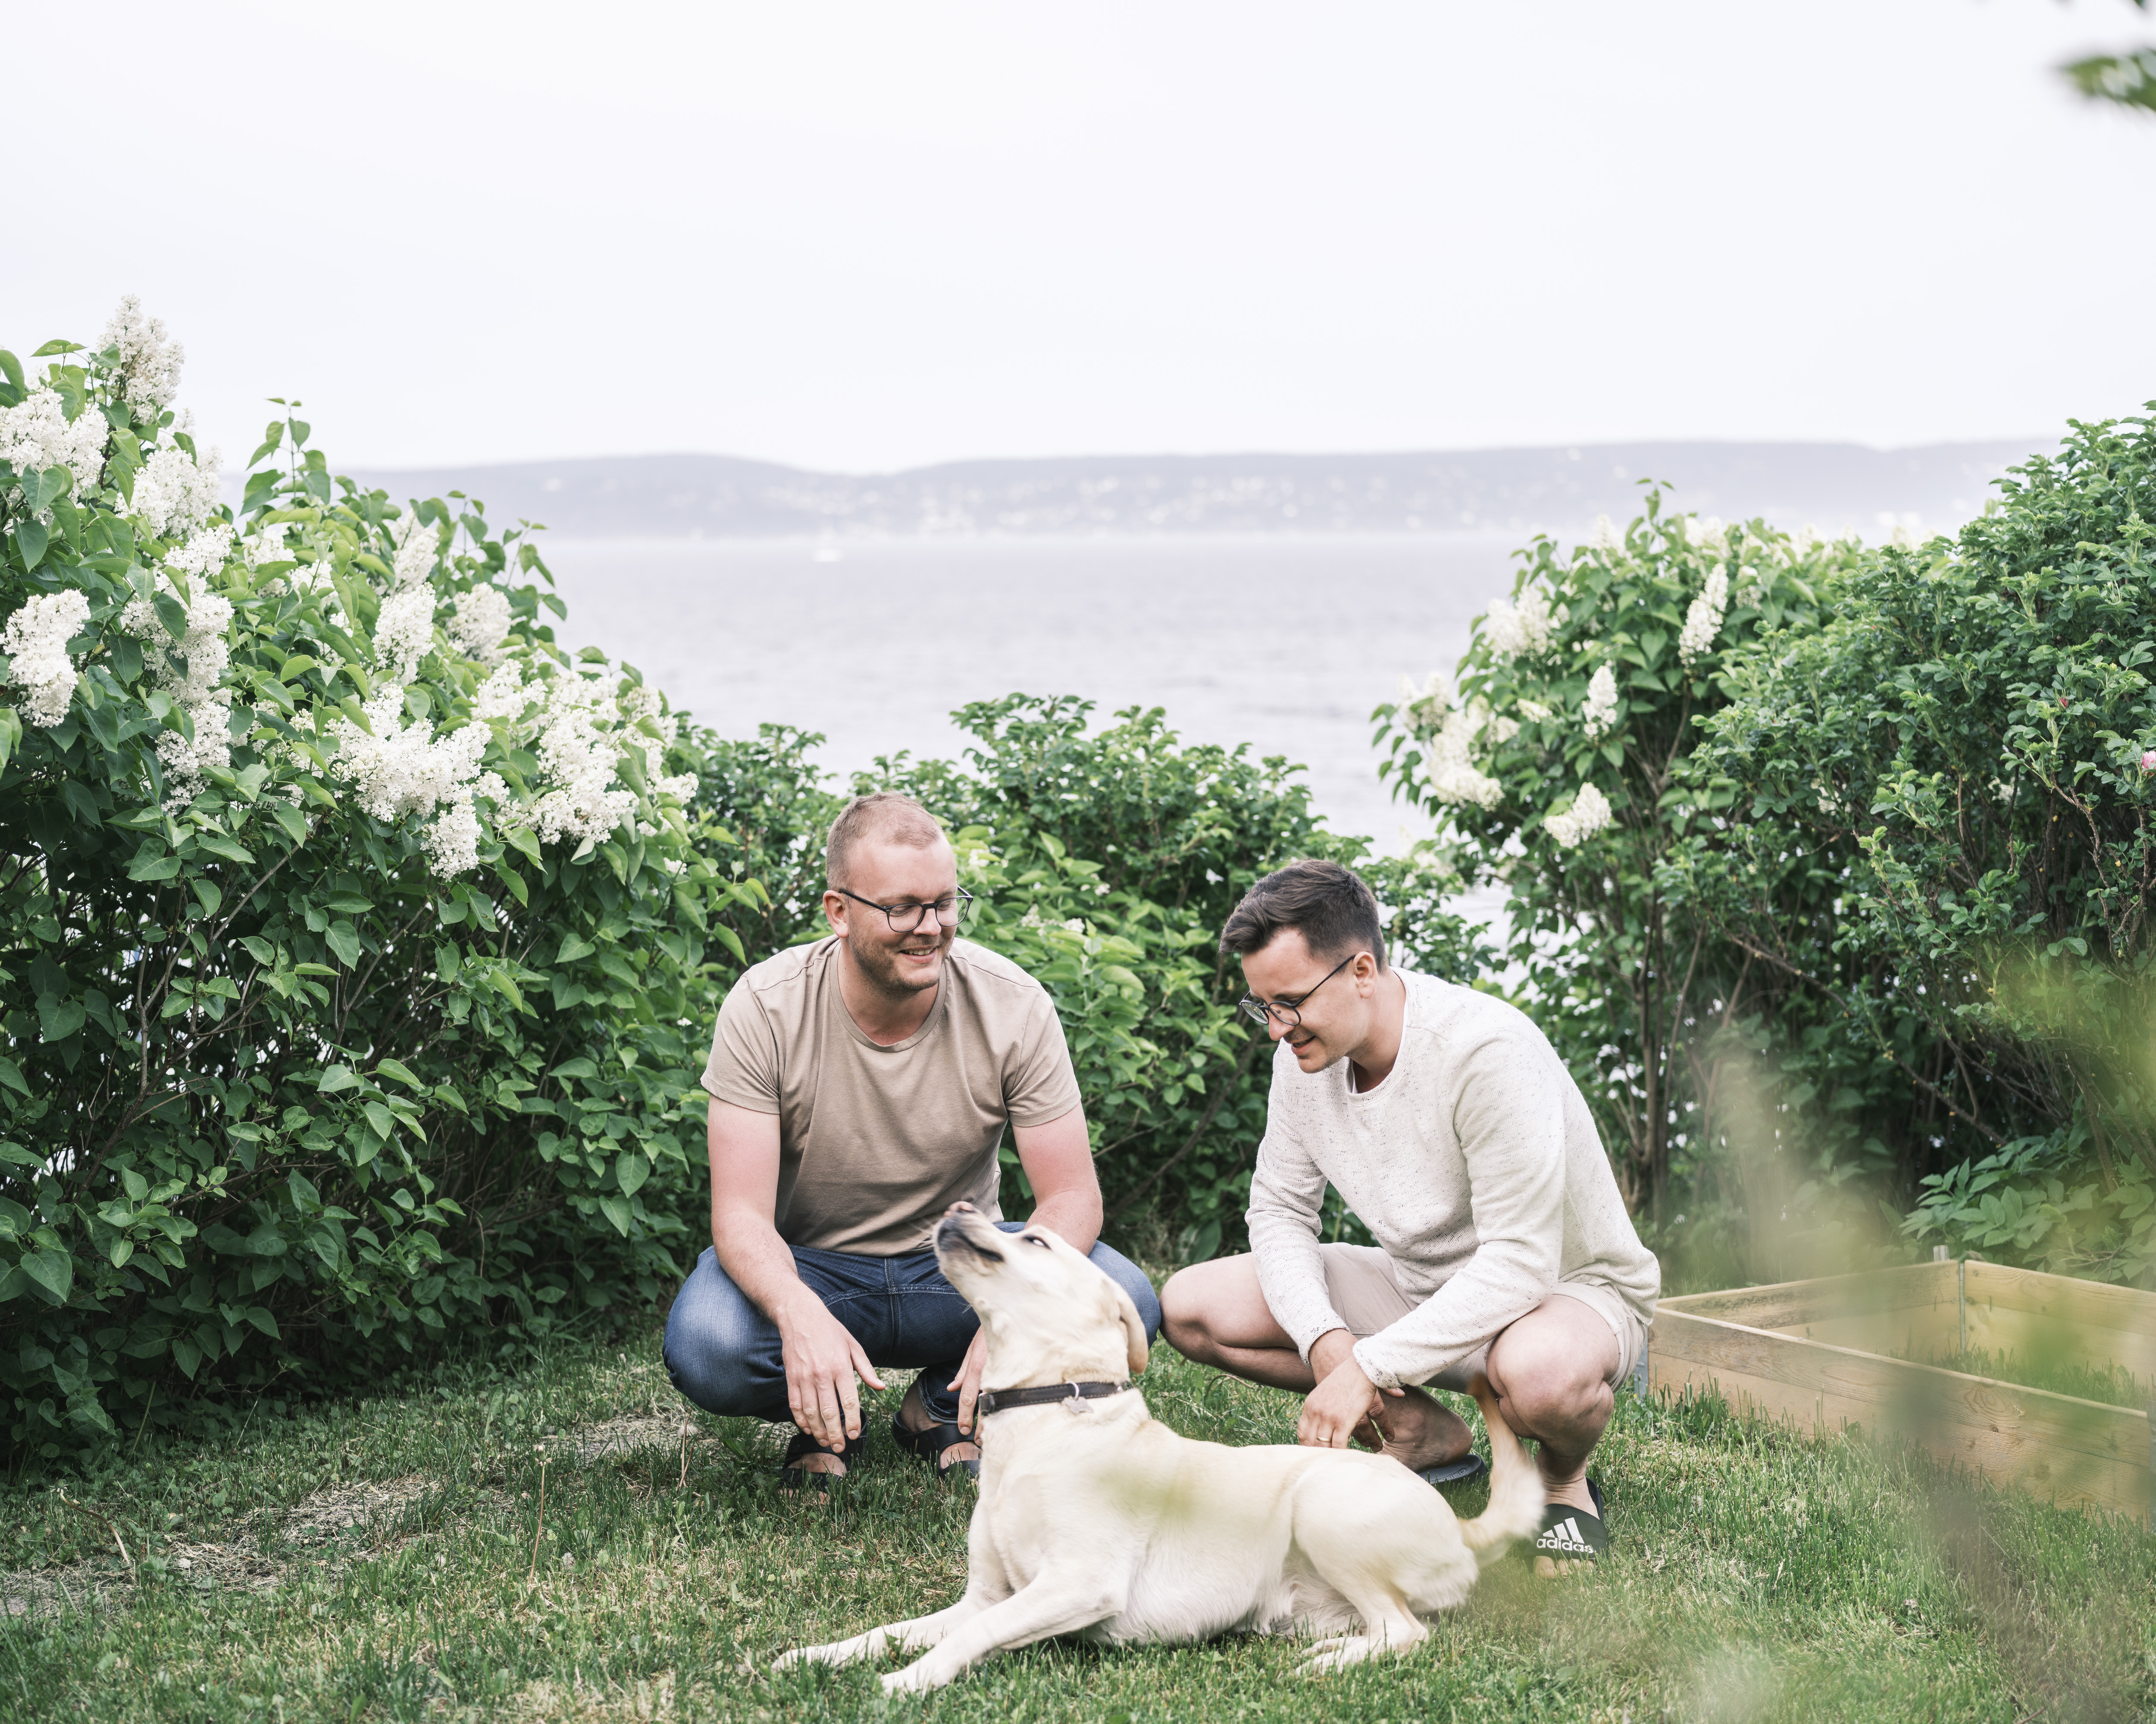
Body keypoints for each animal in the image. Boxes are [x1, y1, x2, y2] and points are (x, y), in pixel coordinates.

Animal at [776, 1208, 1552, 1691]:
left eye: (1035, 1240)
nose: (960, 1207)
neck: (1047, 1414)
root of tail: (1461, 1527)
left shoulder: (1075, 1584)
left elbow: (972, 1636)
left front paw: (908, 1679)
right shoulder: (982, 1595)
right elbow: (893, 1628)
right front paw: (818, 1654)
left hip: (1322, 1505)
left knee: (1408, 1631)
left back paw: (1333, 1664)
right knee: (1385, 1627)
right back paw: (1335, 1647)